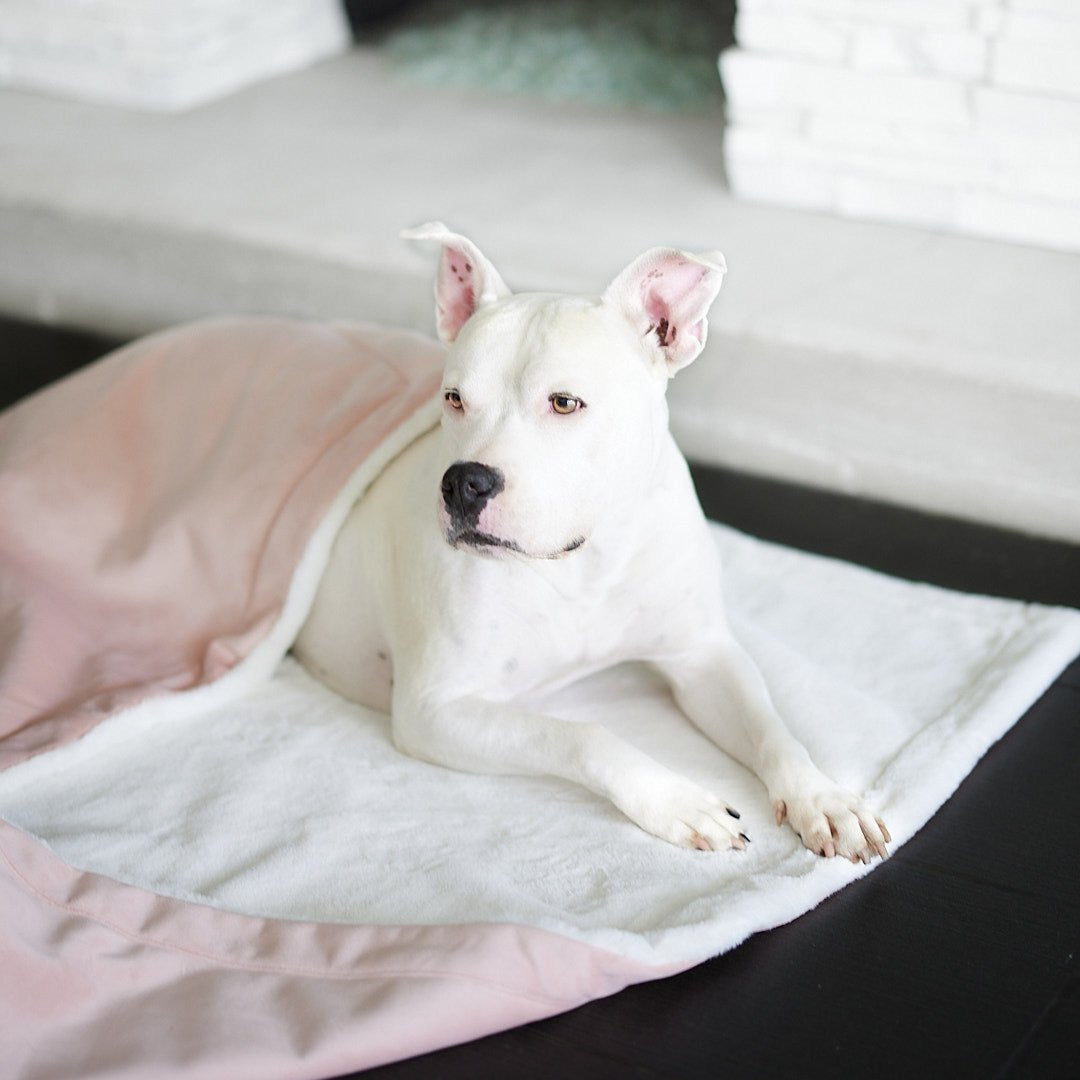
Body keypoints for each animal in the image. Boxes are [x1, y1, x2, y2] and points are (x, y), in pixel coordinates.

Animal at [291, 223, 889, 864]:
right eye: (452, 398)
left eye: (564, 403)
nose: (462, 482)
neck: (585, 564)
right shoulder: (433, 712)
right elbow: (581, 735)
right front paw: (676, 801)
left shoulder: (701, 656)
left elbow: (773, 729)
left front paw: (822, 798)